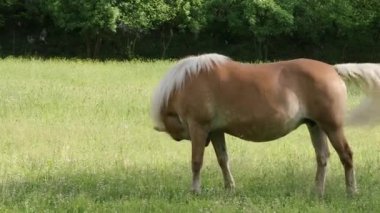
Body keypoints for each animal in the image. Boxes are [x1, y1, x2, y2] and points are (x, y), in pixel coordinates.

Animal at [150, 54, 378, 197]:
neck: (186, 83)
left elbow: (196, 162)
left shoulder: (199, 127)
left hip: (332, 126)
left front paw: (195, 191)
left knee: (346, 155)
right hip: (315, 126)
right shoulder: (215, 132)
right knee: (323, 158)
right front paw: (230, 188)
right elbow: (223, 160)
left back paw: (351, 192)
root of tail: (332, 69)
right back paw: (317, 192)